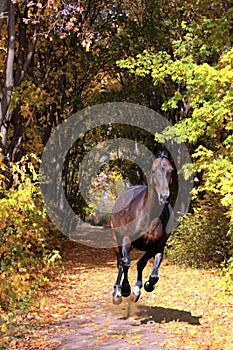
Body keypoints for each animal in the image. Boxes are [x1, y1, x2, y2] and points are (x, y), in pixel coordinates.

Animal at [110, 153, 174, 304]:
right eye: (153, 171)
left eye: (171, 171)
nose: (164, 197)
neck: (149, 216)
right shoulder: (127, 240)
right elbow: (126, 263)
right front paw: (125, 289)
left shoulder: (158, 246)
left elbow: (146, 268)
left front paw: (144, 287)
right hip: (116, 240)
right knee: (120, 263)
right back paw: (118, 292)